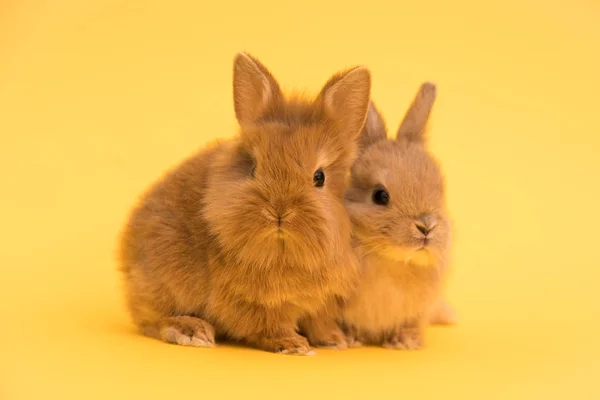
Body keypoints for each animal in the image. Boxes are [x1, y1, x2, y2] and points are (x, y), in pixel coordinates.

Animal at [118, 51, 372, 354]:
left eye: (319, 177)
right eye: (253, 168)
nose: (278, 211)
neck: (283, 250)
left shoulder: (322, 300)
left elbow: (319, 321)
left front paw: (337, 340)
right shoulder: (255, 303)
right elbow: (270, 325)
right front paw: (294, 345)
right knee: (152, 320)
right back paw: (191, 331)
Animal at [342, 82, 454, 350]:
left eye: (439, 191)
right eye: (380, 195)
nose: (426, 226)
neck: (391, 261)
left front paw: (405, 342)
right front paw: (350, 339)